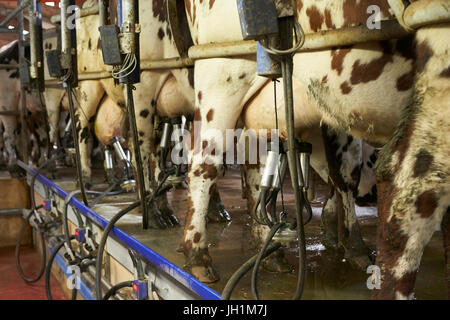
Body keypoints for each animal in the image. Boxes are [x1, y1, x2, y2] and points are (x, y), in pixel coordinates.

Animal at [179, 0, 450, 300]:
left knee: (257, 172)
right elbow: (408, 198)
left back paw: (271, 252)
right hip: (221, 77)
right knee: (203, 164)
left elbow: (343, 176)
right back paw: (197, 255)